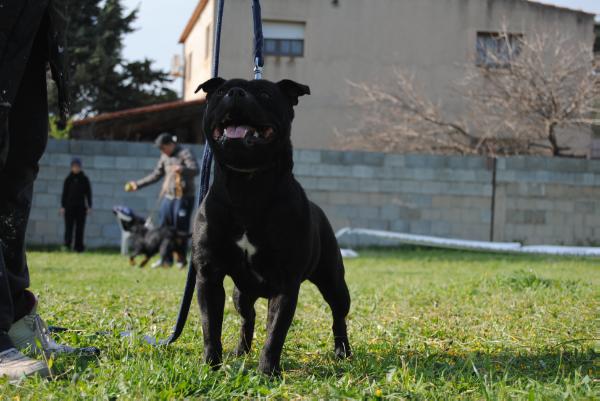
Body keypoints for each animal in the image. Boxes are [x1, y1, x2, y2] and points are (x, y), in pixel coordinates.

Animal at [192, 78, 352, 376]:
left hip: (334, 282)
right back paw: (241, 350)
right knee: (248, 318)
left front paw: (267, 372)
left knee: (339, 315)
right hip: (240, 294)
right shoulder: (209, 276)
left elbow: (276, 332)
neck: (247, 186)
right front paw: (211, 365)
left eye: (266, 94)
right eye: (220, 92)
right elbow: (211, 326)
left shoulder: (286, 282)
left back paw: (342, 350)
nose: (235, 92)